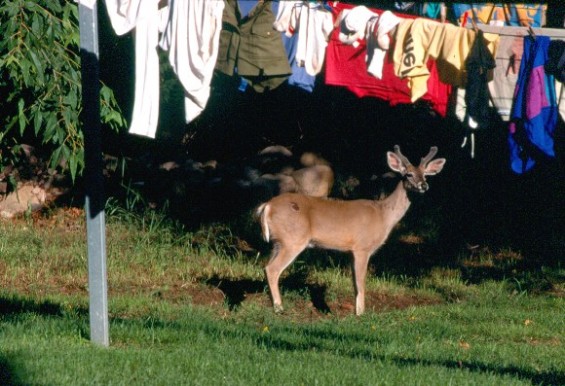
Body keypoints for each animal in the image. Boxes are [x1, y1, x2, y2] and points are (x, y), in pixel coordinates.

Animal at [256, 146, 446, 316]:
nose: (424, 185)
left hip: (278, 241)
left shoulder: (351, 251)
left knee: (266, 267)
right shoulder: (362, 247)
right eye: (408, 174)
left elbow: (354, 282)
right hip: (293, 240)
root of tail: (267, 206)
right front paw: (361, 313)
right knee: (273, 269)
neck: (383, 215)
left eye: (425, 174)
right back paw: (279, 308)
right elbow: (361, 282)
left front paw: (356, 310)